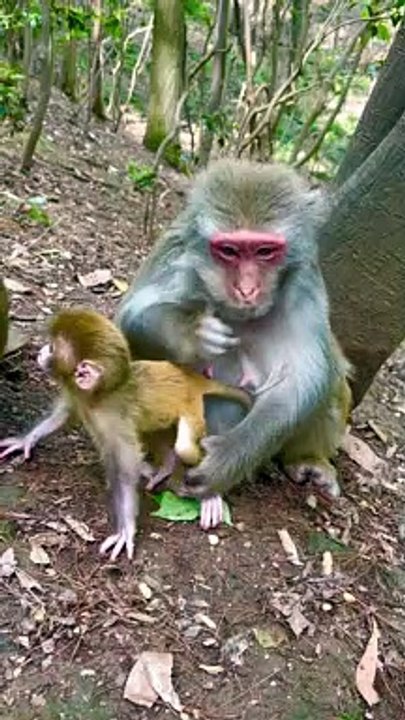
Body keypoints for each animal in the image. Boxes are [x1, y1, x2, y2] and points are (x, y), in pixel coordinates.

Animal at [0, 307, 252, 558]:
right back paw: (167, 464)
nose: (42, 351)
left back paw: (208, 492)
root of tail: (191, 377)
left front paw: (126, 529)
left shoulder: (114, 422)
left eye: (52, 348)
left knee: (185, 447)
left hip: (192, 406)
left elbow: (124, 472)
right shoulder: (79, 397)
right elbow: (63, 414)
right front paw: (25, 440)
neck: (99, 396)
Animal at [116, 159, 352, 515]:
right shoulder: (177, 258)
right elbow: (129, 319)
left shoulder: (304, 283)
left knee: (332, 378)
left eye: (265, 251)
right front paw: (191, 334)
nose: (246, 289)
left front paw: (226, 459)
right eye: (229, 250)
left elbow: (303, 378)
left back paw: (307, 461)